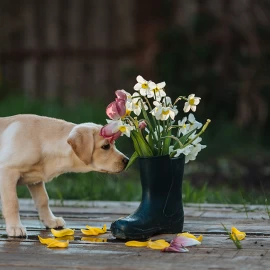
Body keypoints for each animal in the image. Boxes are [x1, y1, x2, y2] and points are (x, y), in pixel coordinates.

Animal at [0, 114, 129, 236]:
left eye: (113, 144)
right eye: (105, 146)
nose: (127, 161)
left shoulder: (36, 179)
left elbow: (43, 199)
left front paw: (50, 220)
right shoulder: (7, 171)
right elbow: (13, 203)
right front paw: (15, 227)